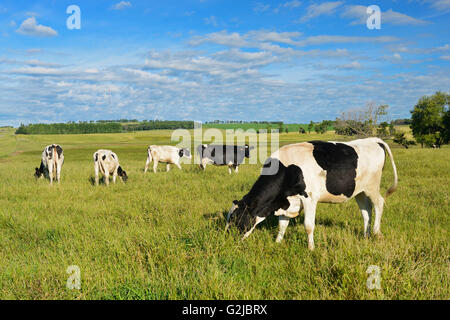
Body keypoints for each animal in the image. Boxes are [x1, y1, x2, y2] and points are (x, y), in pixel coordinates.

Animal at [225, 138, 398, 250]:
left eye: (235, 218)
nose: (227, 238)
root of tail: (373, 140)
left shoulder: (309, 198)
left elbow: (308, 226)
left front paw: (311, 248)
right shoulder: (287, 200)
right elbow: (282, 225)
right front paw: (277, 242)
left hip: (372, 187)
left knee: (379, 203)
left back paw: (376, 233)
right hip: (359, 191)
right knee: (366, 211)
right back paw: (365, 235)